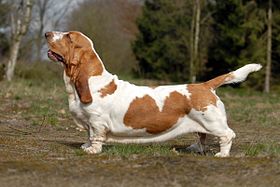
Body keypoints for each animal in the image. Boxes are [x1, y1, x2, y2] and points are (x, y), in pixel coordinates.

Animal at [44, 30, 262, 156]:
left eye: (68, 37)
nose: (46, 33)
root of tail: (205, 85)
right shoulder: (89, 123)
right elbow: (88, 134)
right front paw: (85, 145)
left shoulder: (97, 122)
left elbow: (96, 136)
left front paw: (91, 150)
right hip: (204, 122)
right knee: (202, 136)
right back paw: (194, 149)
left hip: (212, 121)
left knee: (227, 135)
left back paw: (222, 154)